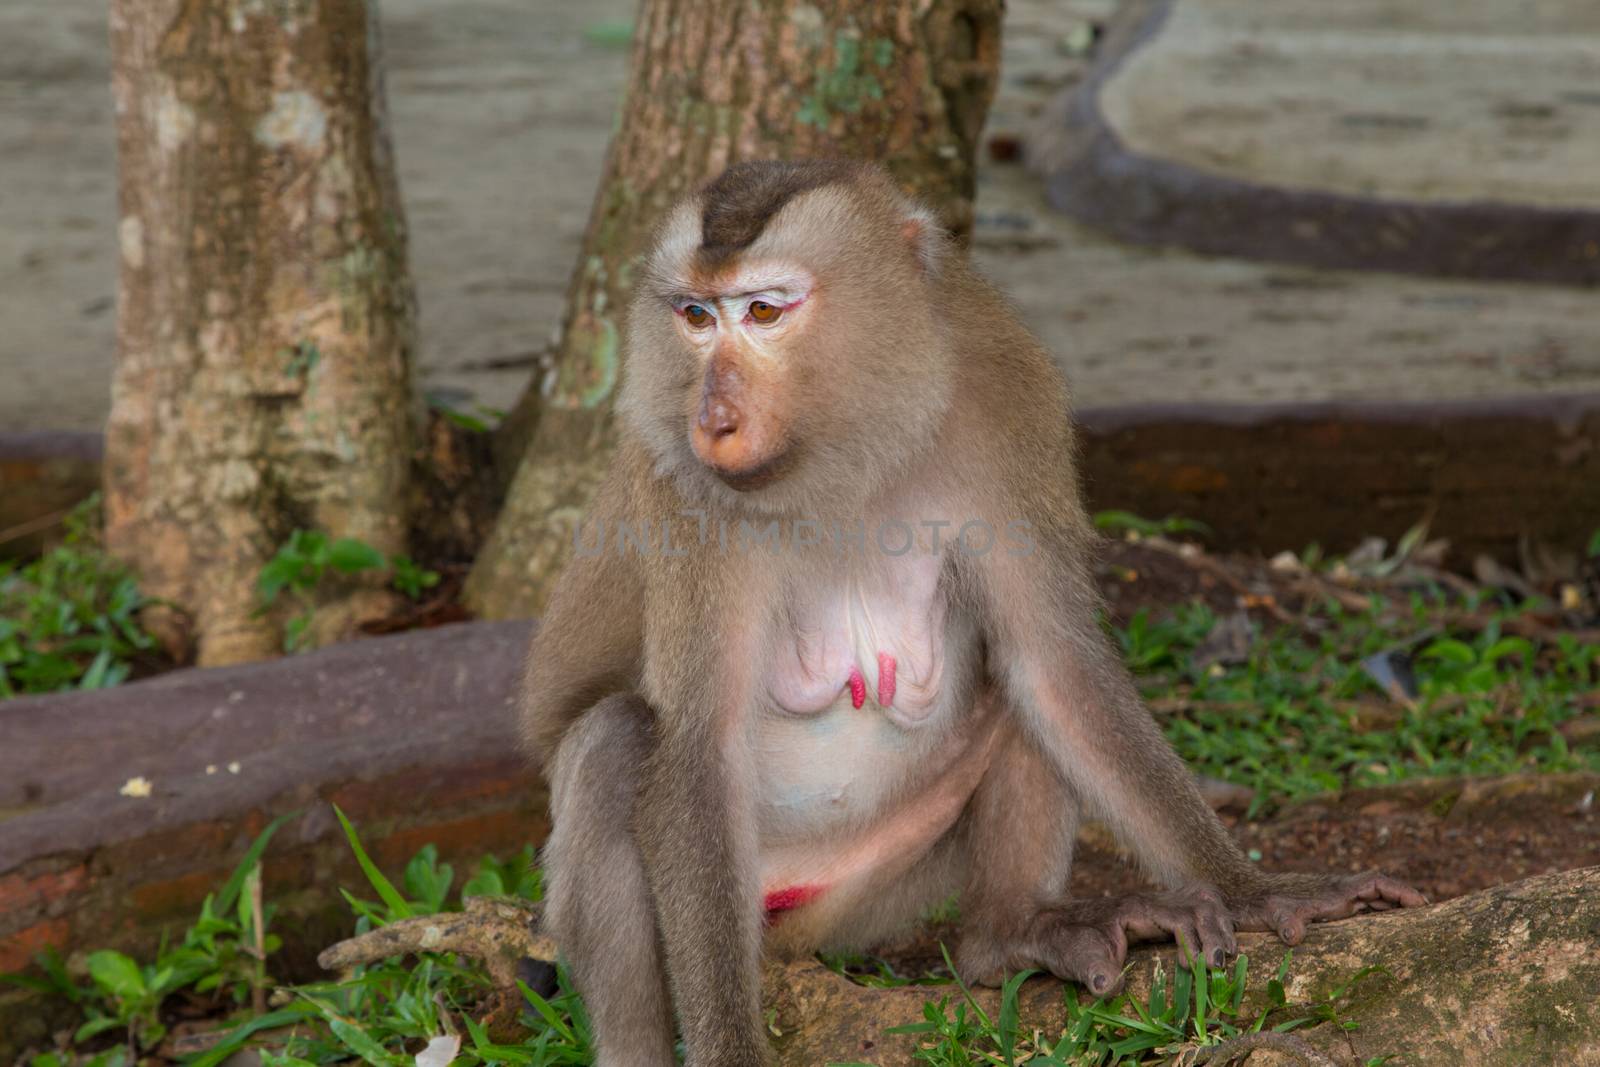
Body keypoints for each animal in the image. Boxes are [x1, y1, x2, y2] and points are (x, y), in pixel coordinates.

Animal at [518, 160, 1420, 1067]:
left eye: (764, 311)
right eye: (697, 318)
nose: (712, 417)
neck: (844, 450)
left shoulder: (1001, 401)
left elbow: (1053, 662)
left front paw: (1257, 891)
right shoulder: (683, 494)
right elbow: (698, 749)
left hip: (871, 888)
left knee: (1020, 687)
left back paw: (1008, 934)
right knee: (614, 744)